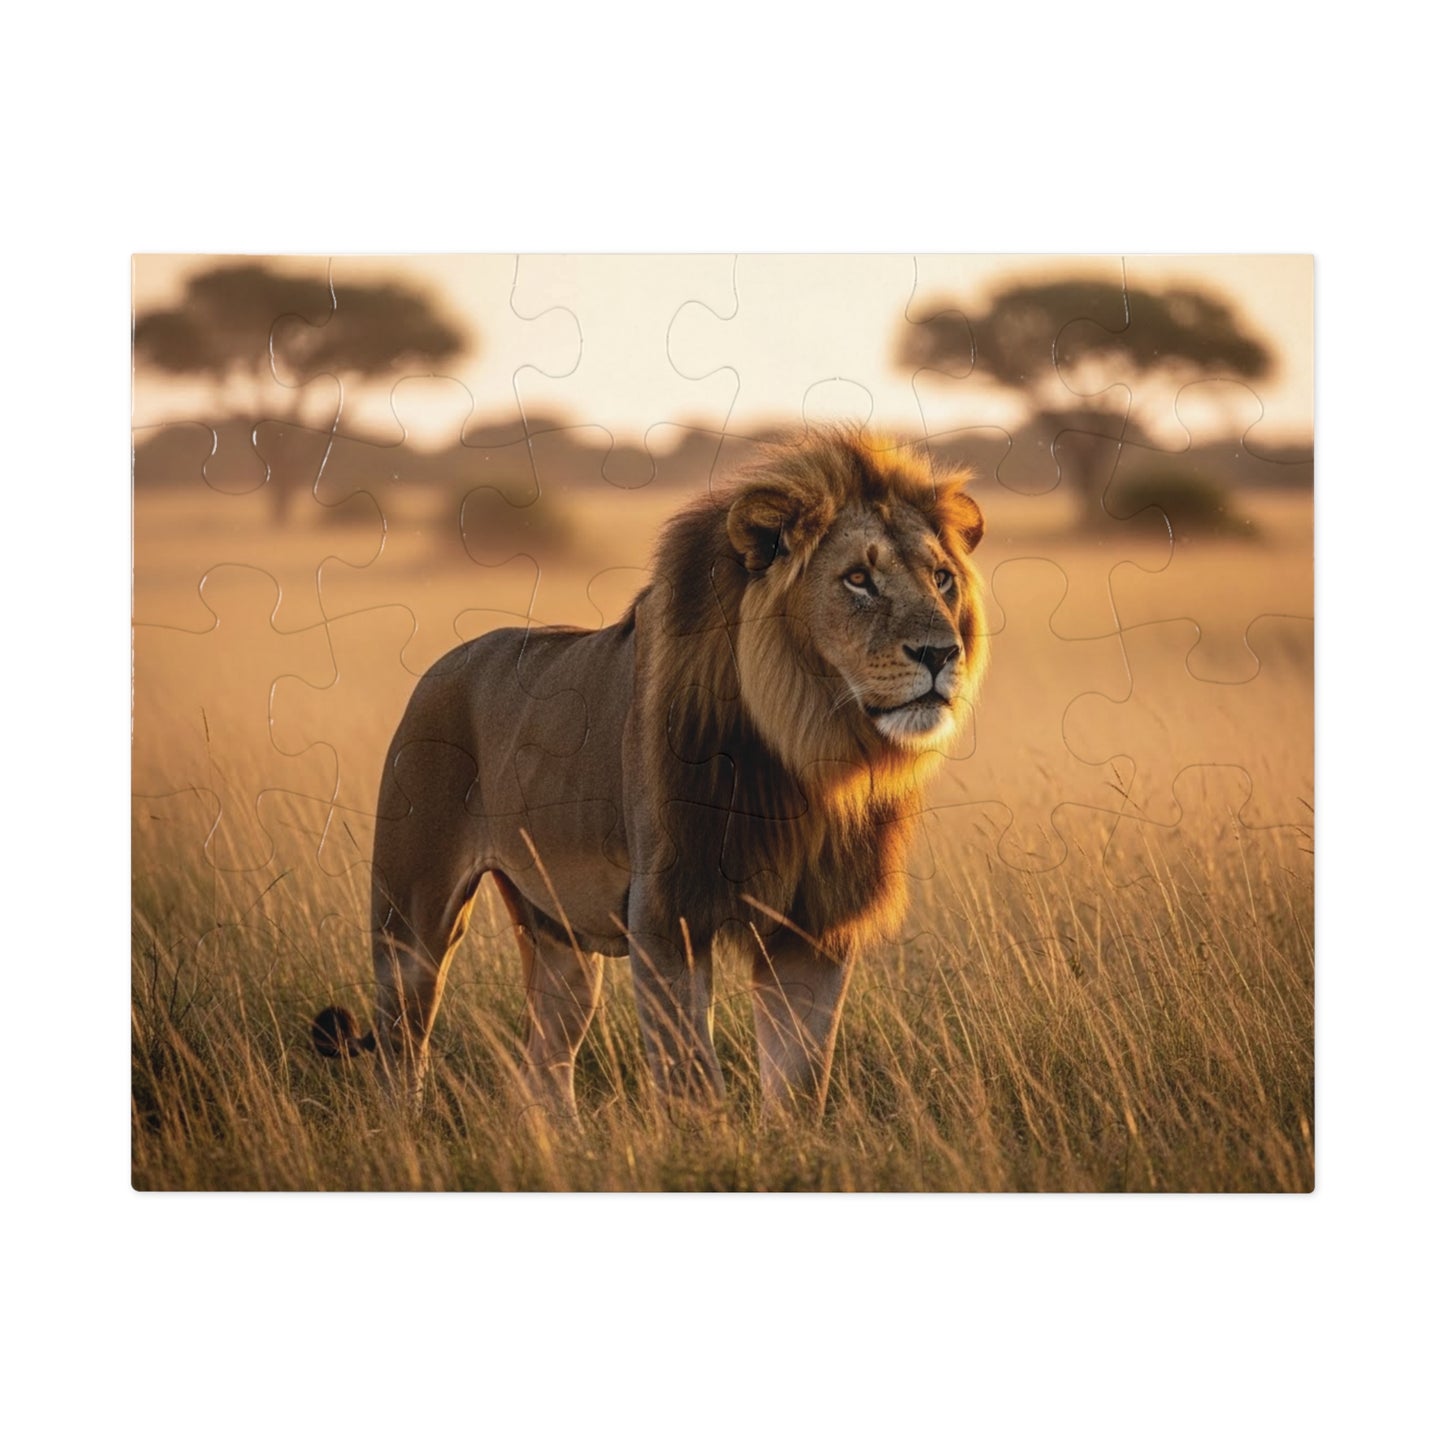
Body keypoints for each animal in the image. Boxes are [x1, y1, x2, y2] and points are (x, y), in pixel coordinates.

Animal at [312, 428, 987, 1120]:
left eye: (942, 579)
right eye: (857, 579)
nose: (941, 653)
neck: (806, 757)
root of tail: (444, 663)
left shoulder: (815, 927)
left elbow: (800, 1078)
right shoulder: (666, 913)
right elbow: (693, 1076)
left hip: (561, 939)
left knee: (544, 1064)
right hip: (410, 921)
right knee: (401, 1049)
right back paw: (406, 1126)